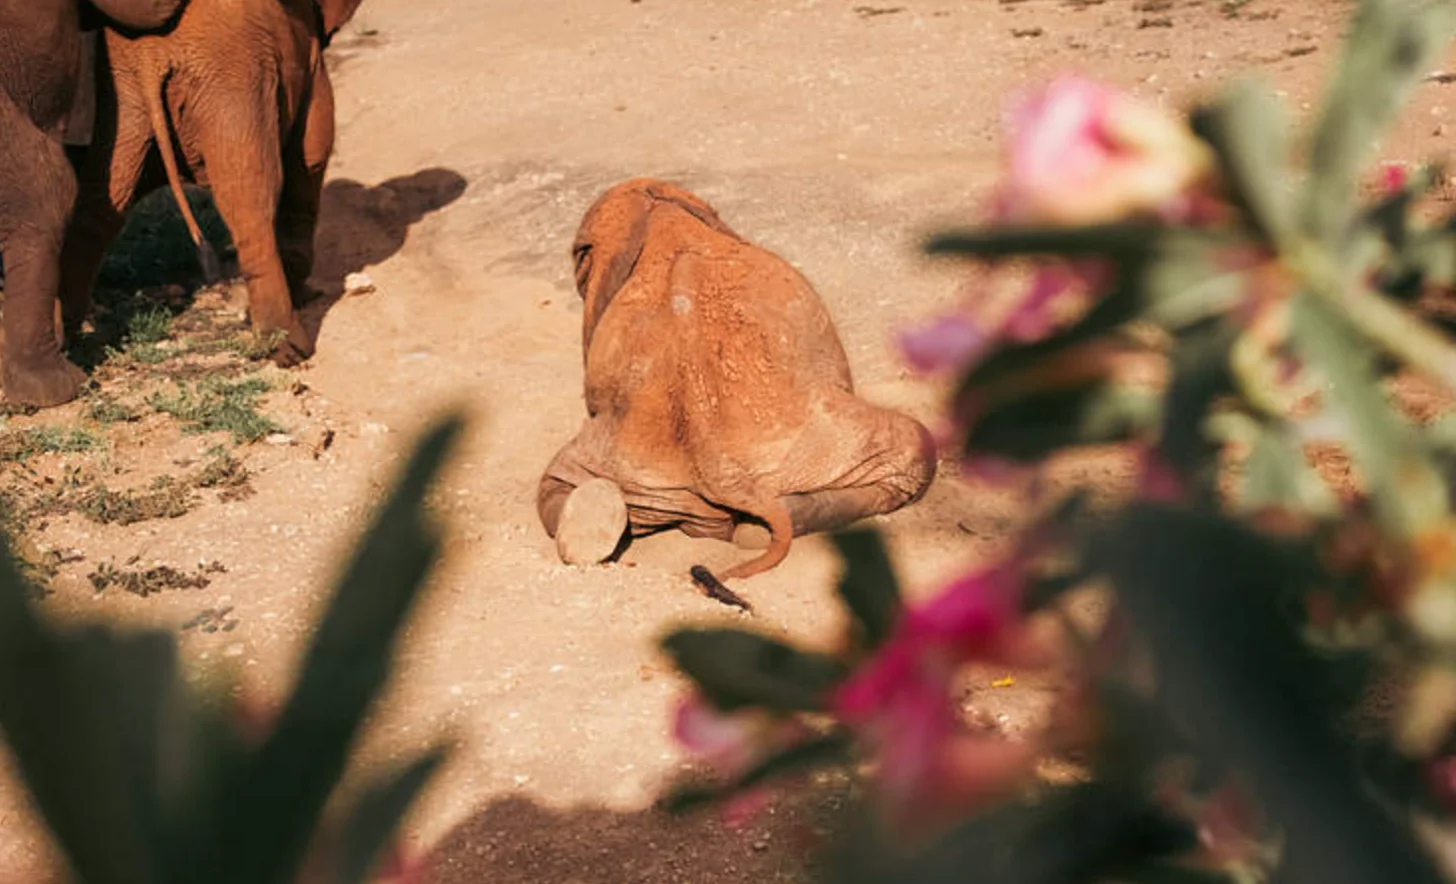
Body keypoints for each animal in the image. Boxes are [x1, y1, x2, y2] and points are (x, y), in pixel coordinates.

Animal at [57, 0, 366, 368]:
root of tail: (151, 56)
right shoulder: (309, 60)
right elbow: (311, 156)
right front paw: (304, 296)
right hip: (229, 83)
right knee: (249, 198)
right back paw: (288, 350)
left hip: (128, 98)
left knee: (101, 204)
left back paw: (66, 345)